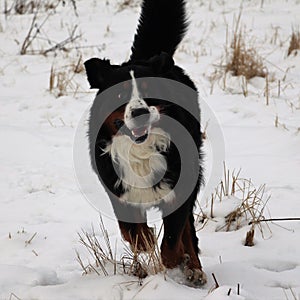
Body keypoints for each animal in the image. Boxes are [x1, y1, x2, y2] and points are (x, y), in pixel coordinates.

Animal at [84, 0, 206, 288]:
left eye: (151, 89)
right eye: (119, 94)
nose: (139, 112)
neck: (141, 151)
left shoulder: (181, 185)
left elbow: (173, 236)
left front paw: (176, 262)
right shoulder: (116, 187)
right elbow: (131, 231)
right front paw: (146, 242)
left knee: (188, 230)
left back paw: (194, 268)